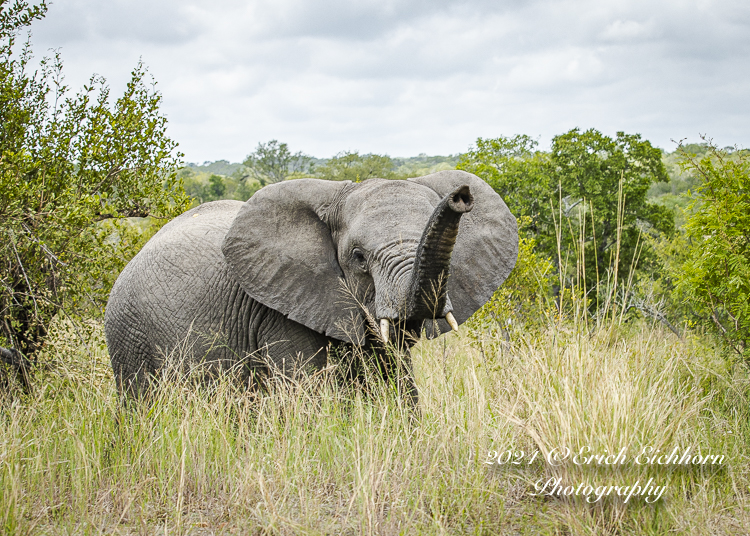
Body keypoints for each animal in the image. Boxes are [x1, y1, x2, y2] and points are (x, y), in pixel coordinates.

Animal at [103, 170, 520, 400]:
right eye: (359, 258)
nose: (461, 195)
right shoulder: (278, 311)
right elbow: (308, 395)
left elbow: (395, 381)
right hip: (129, 336)